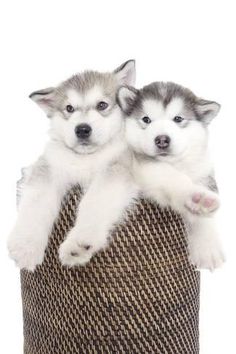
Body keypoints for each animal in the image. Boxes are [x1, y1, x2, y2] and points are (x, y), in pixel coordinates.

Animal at [7, 61, 136, 272]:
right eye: (69, 108)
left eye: (102, 105)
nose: (82, 129)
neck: (87, 157)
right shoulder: (49, 167)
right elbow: (36, 202)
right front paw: (26, 245)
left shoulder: (116, 169)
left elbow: (94, 202)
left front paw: (79, 242)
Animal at [118, 82, 225, 272]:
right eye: (146, 119)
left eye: (178, 119)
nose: (162, 139)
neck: (176, 164)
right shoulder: (144, 165)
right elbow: (173, 178)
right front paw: (195, 197)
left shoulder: (203, 171)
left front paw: (208, 246)